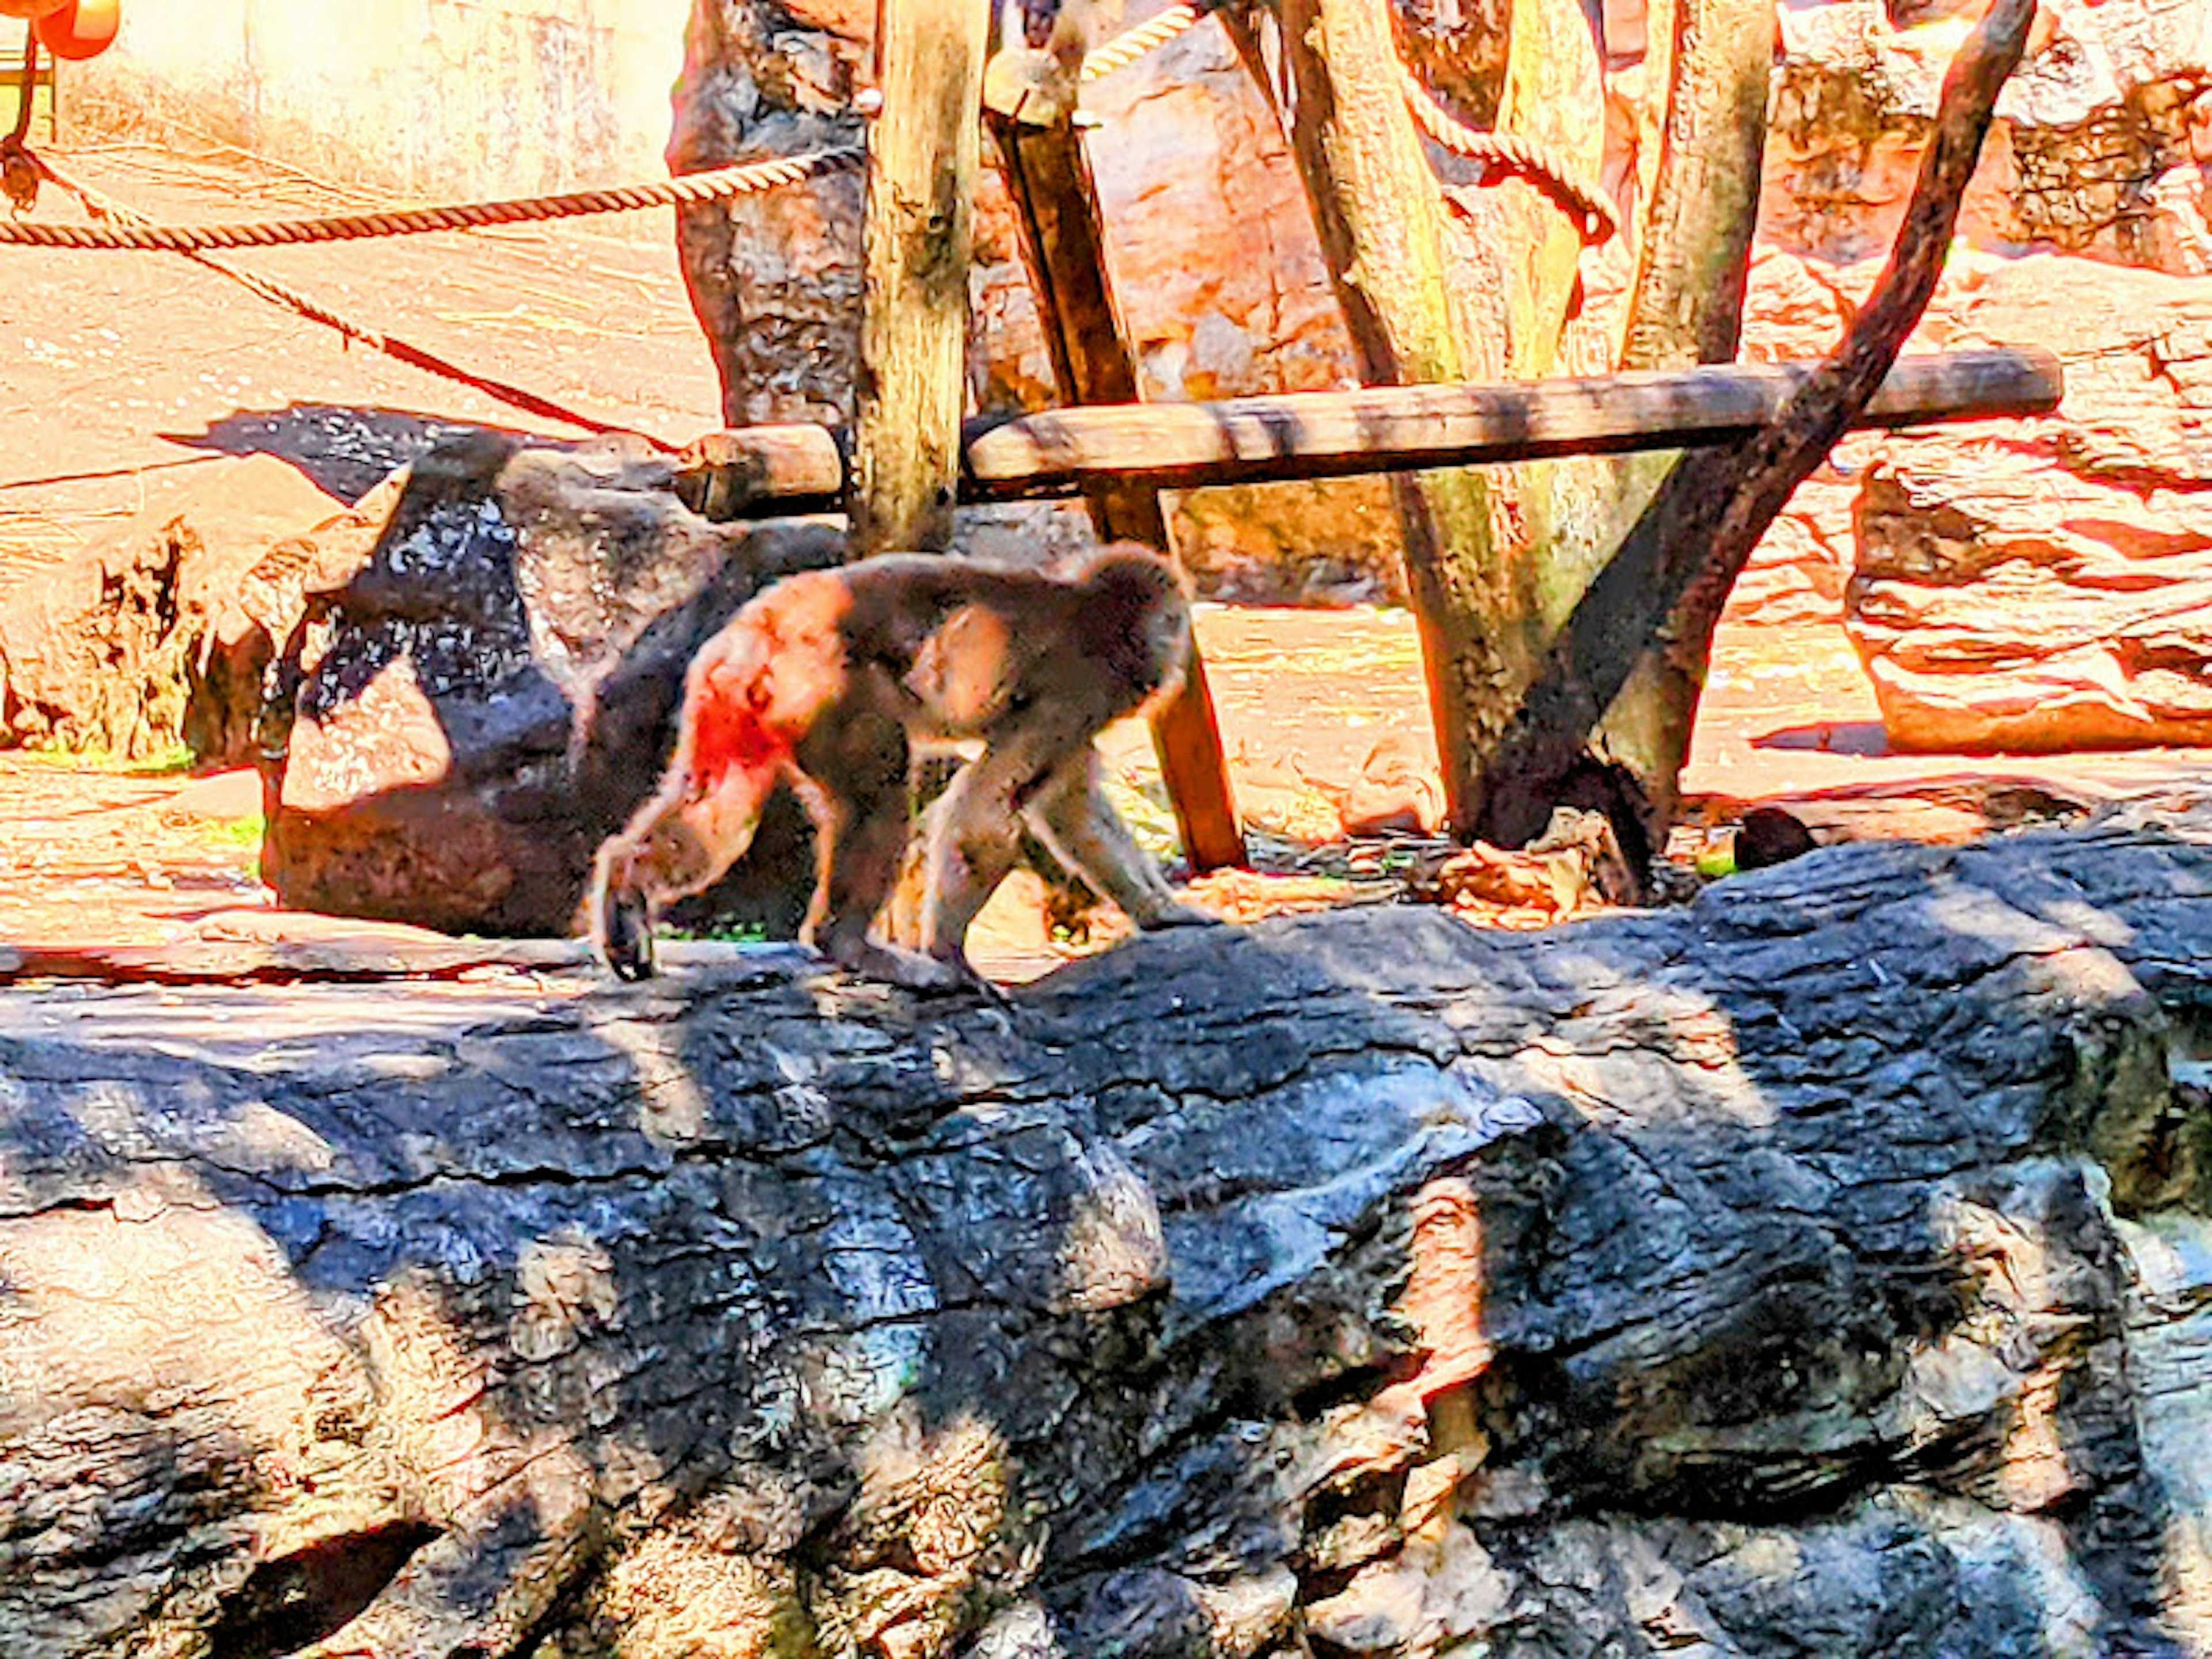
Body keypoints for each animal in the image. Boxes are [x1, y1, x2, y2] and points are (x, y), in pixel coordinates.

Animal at [593, 541, 1212, 986]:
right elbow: (988, 814)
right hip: (826, 689)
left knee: (719, 812)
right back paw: (849, 944)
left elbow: (1070, 808)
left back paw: (626, 889)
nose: (1175, 664)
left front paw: (1162, 912)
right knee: (881, 795)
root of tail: (759, 633)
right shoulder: (1077, 694)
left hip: (730, 698)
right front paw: (950, 955)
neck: (1093, 615)